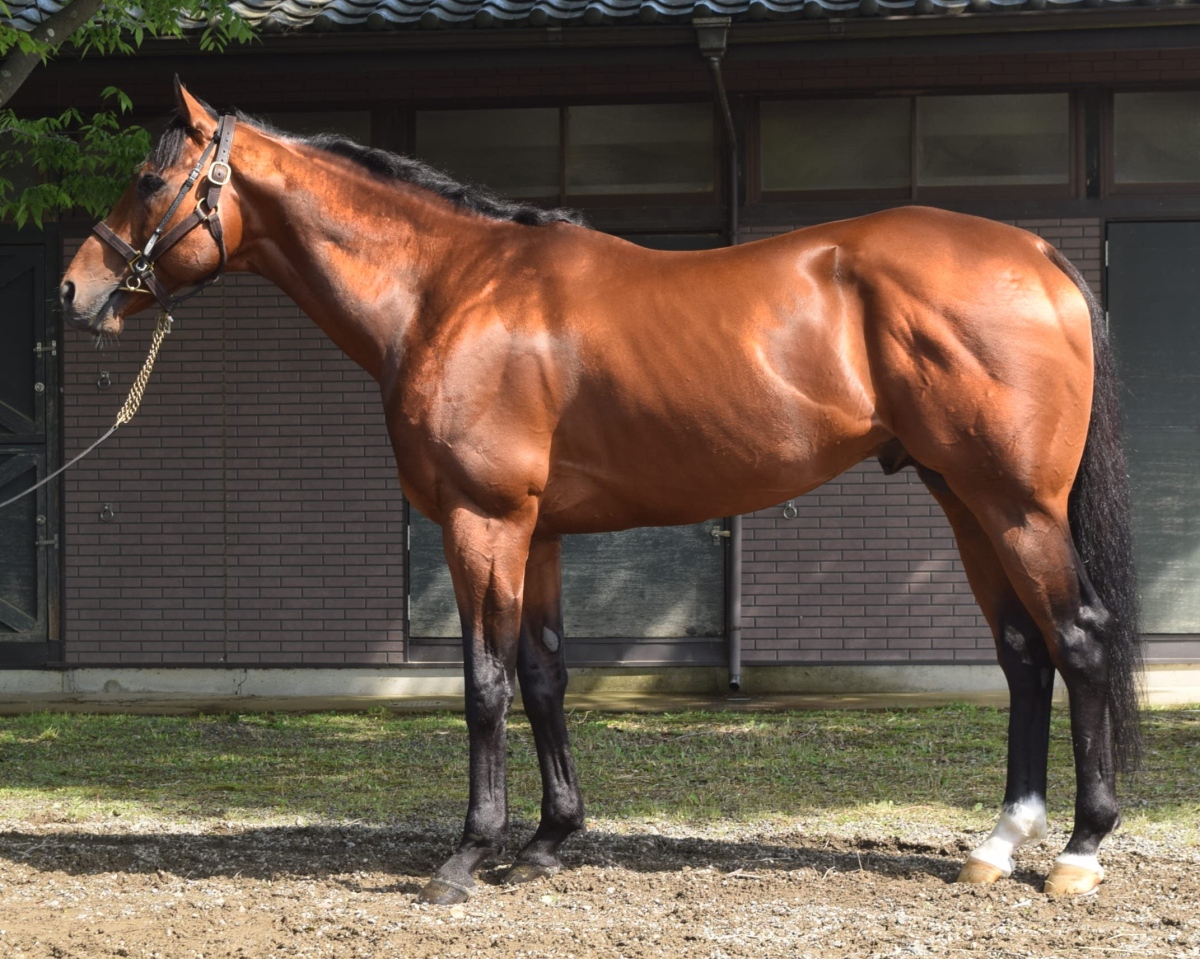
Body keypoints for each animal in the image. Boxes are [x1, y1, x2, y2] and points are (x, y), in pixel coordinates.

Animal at [60, 80, 1141, 903]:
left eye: (149, 179)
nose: (75, 290)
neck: (450, 287)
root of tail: (1037, 252)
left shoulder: (482, 521)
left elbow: (484, 684)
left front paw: (466, 856)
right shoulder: (535, 533)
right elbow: (544, 674)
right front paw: (546, 840)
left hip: (1016, 504)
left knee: (1079, 637)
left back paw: (1080, 851)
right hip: (964, 500)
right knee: (1022, 653)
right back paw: (996, 844)